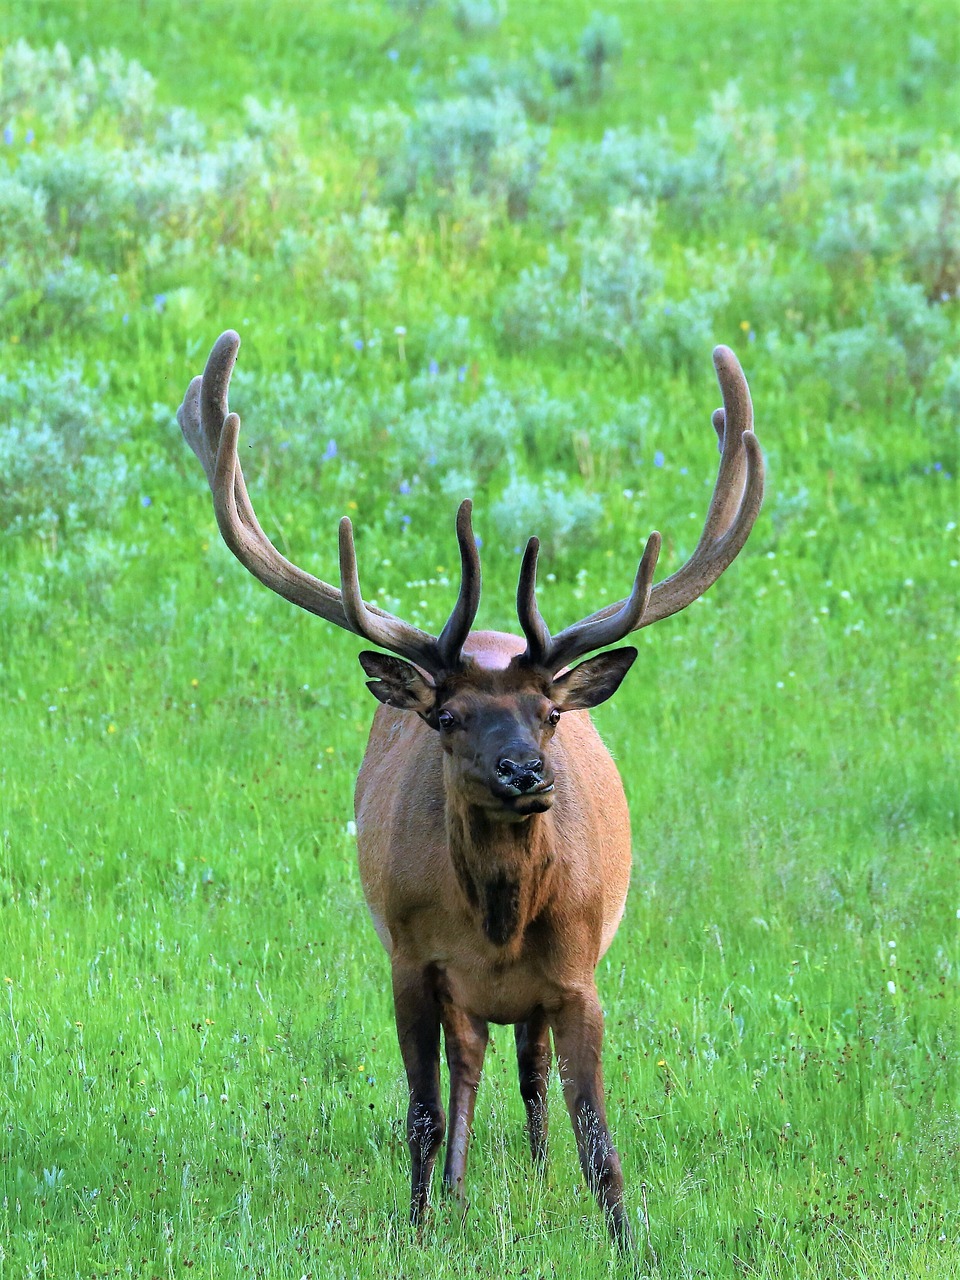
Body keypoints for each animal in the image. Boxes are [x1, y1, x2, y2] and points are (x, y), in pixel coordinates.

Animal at [179, 332, 768, 1249]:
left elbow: (597, 1133)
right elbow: (420, 1113)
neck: (500, 919)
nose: (525, 772)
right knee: (472, 1065)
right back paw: (457, 1192)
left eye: (550, 712)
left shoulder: (579, 974)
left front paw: (624, 1238)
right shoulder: (412, 962)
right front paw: (420, 1226)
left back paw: (533, 1168)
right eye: (449, 716)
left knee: (527, 1067)